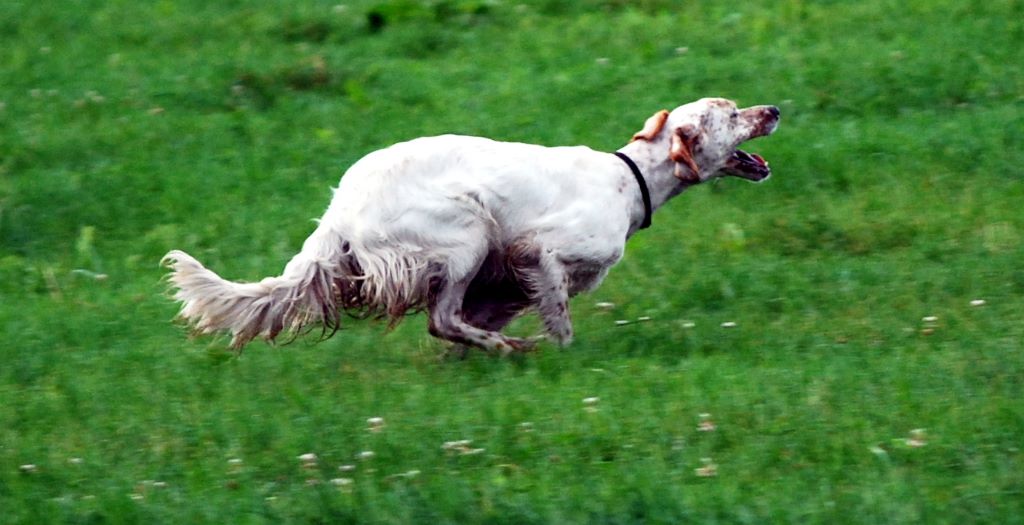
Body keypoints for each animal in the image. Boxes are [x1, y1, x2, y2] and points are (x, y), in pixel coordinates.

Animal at [165, 96, 774, 354]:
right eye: (731, 112)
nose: (774, 110)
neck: (631, 178)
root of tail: (343, 205)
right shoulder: (538, 252)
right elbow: (560, 322)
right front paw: (558, 354)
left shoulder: (506, 281)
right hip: (468, 233)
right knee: (440, 317)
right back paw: (510, 348)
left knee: (449, 320)